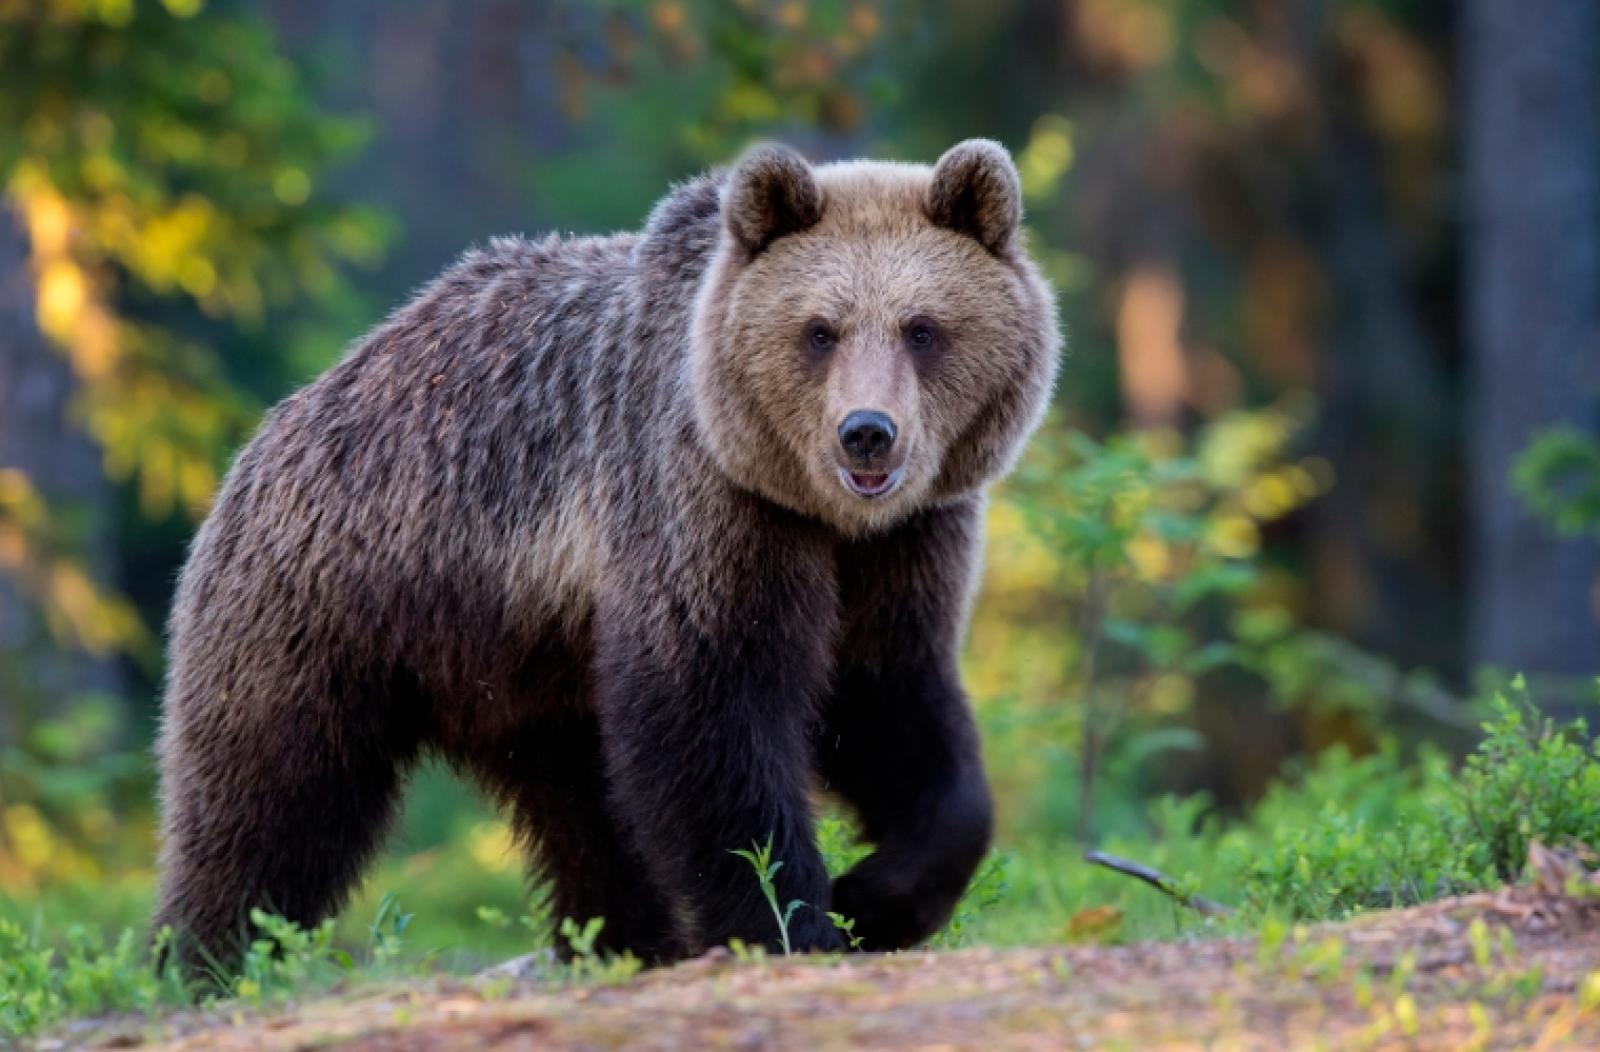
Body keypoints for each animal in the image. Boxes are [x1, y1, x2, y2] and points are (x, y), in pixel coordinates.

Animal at [153, 139, 1060, 971]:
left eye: (923, 328)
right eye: (819, 331)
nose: (867, 432)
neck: (822, 513)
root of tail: (277, 425)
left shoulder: (902, 545)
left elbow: (895, 705)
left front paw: (877, 896)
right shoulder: (701, 507)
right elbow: (710, 719)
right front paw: (793, 921)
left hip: (530, 680)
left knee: (585, 813)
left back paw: (618, 940)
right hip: (331, 605)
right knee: (269, 800)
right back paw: (208, 961)